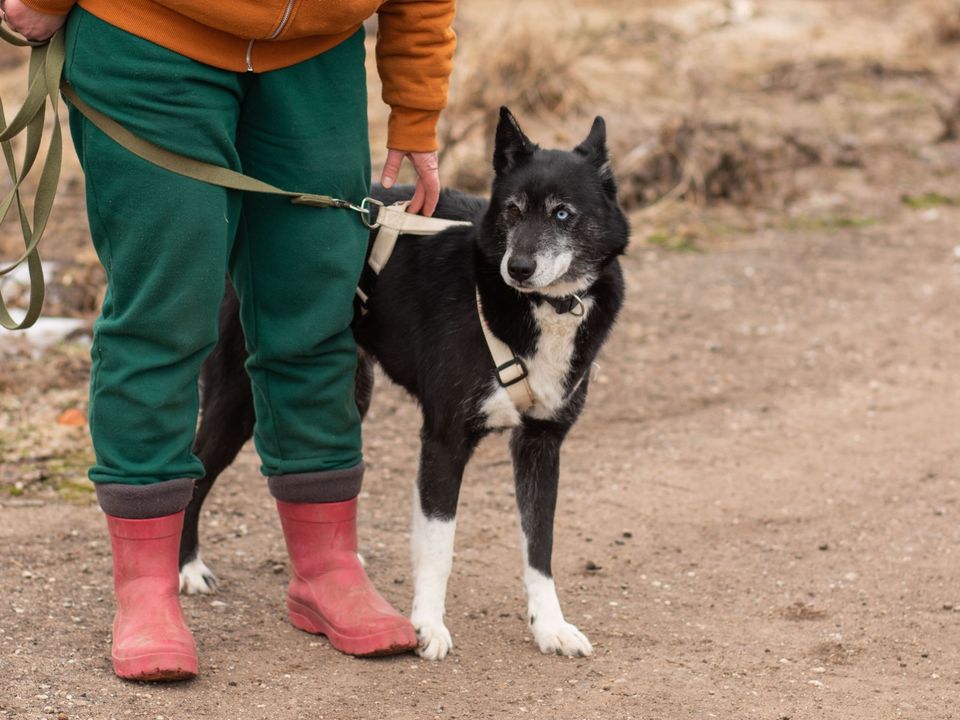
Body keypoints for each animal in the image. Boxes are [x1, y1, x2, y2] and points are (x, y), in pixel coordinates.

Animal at [180, 105, 632, 660]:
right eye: (511, 211)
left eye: (562, 213)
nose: (518, 268)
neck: (544, 308)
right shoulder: (444, 440)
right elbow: (439, 547)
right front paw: (427, 626)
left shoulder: (541, 445)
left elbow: (539, 547)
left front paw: (550, 626)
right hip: (236, 399)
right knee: (198, 471)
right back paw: (187, 568)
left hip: (349, 392)